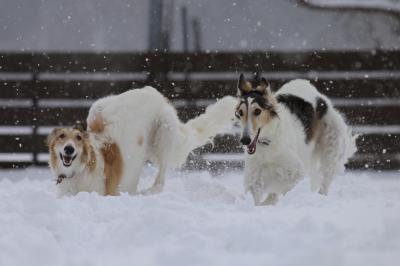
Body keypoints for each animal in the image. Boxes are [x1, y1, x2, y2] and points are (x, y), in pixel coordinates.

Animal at [47, 86, 236, 196]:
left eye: (78, 138)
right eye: (61, 137)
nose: (69, 149)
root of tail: (153, 91)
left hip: (165, 132)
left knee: (160, 181)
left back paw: (145, 192)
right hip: (97, 107)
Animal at [234, 75, 356, 206]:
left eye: (257, 111)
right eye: (240, 112)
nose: (245, 140)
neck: (268, 143)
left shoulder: (295, 170)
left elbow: (281, 184)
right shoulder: (255, 172)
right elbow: (257, 192)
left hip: (331, 151)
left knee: (325, 182)